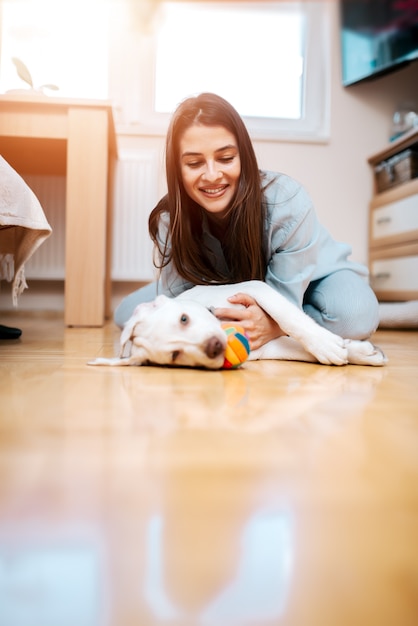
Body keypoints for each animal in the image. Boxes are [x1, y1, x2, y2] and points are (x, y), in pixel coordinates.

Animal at [87, 280, 386, 368]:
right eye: (175, 355)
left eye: (184, 319)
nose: (214, 346)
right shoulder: (268, 349)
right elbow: (299, 350)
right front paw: (354, 352)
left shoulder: (254, 287)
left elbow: (287, 316)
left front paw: (328, 344)